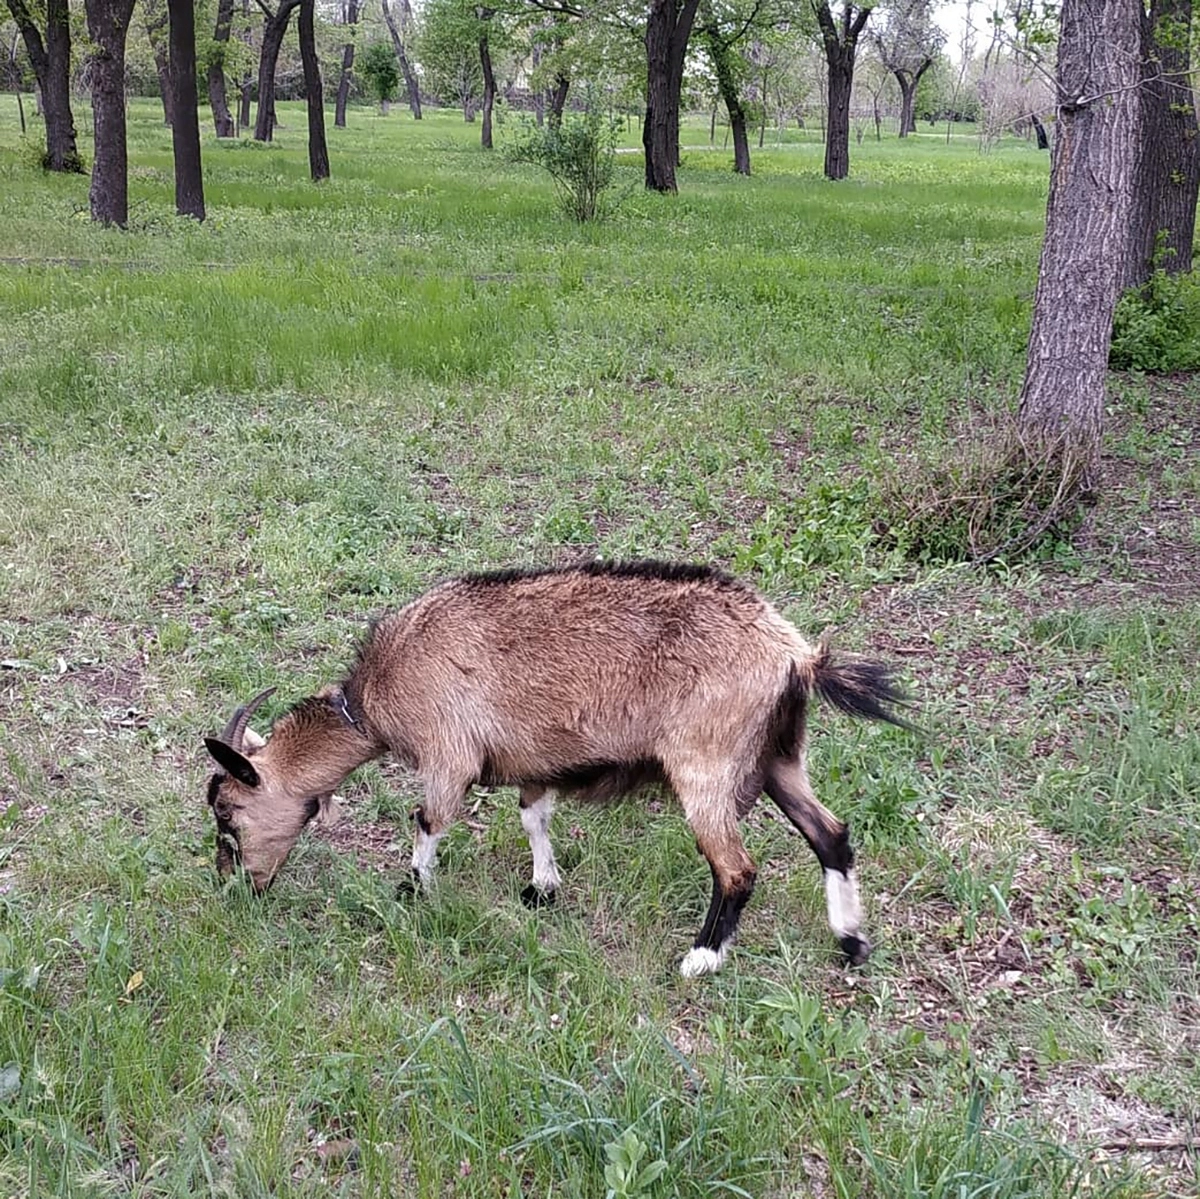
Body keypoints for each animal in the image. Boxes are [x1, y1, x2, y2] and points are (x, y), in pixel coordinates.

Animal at [203, 560, 912, 976]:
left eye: (228, 814)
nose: (234, 887)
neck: (377, 697)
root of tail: (795, 655)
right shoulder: (533, 757)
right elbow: (533, 816)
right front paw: (542, 888)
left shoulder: (449, 752)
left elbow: (429, 818)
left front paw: (413, 888)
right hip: (778, 758)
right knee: (831, 834)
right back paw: (851, 943)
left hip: (706, 765)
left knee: (736, 868)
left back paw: (700, 958)